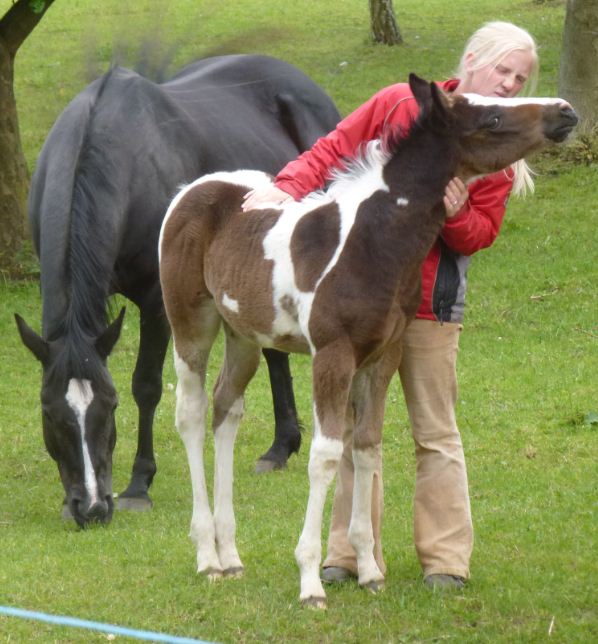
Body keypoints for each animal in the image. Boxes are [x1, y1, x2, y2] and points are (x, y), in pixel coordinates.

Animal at [14, 54, 340, 528]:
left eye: (110, 405)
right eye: (48, 411)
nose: (91, 507)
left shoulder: (157, 302)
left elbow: (147, 385)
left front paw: (137, 485)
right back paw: (280, 447)